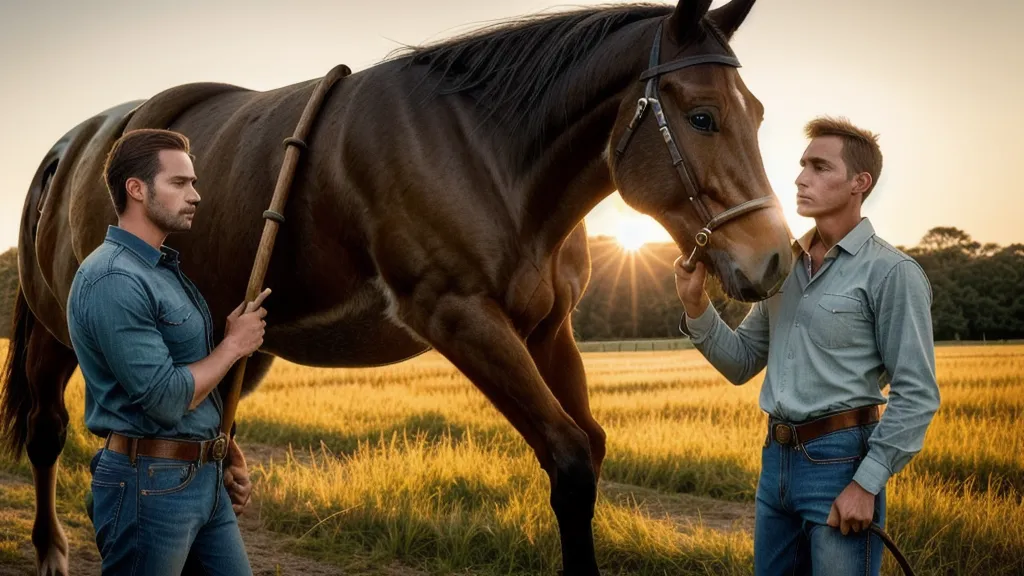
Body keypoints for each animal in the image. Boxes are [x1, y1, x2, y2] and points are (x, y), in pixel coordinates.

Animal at [1, 0, 792, 573]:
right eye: (701, 117)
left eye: (757, 113)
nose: (773, 259)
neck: (491, 156)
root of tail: (76, 142)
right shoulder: (459, 316)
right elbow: (567, 458)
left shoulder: (548, 329)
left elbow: (590, 447)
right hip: (62, 329)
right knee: (50, 432)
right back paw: (51, 551)